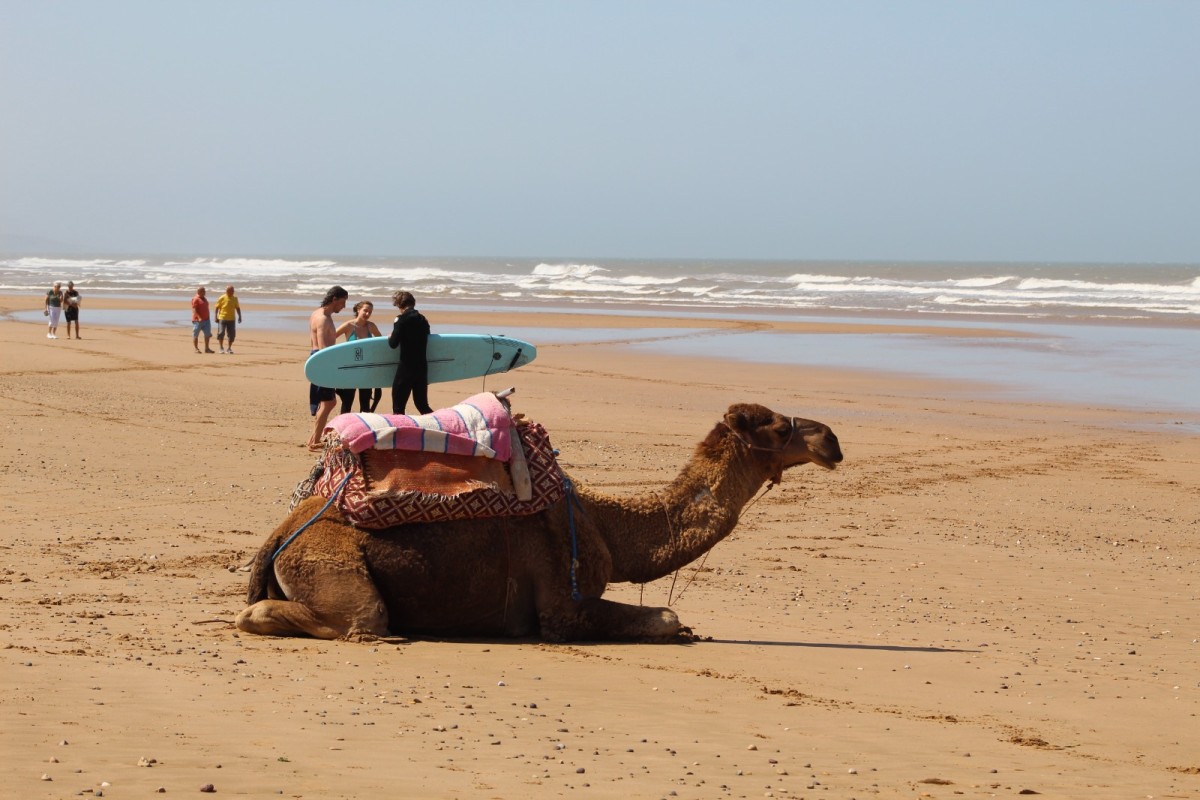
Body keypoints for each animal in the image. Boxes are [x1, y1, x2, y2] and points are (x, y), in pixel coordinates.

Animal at [235, 403, 842, 642]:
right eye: (778, 428)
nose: (831, 439)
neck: (604, 522)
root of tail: (277, 535)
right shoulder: (561, 607)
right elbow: (667, 616)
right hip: (327, 564)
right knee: (359, 618)